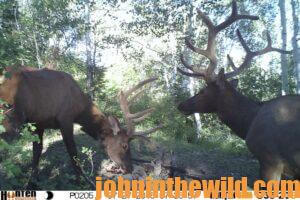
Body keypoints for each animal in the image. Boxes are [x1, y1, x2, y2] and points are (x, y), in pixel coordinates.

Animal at [0, 66, 162, 188]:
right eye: (124, 145)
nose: (130, 167)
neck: (80, 110)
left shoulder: (37, 123)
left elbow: (36, 152)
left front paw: (32, 182)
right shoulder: (65, 119)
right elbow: (73, 152)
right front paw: (81, 181)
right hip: (9, 119)